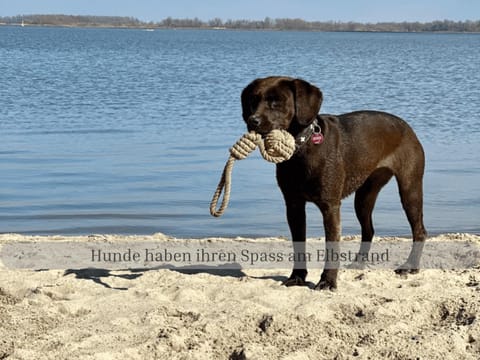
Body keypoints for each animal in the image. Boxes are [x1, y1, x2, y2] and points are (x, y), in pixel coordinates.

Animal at [242, 76, 426, 290]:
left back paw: (410, 266)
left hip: (409, 188)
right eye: (252, 101)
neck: (302, 149)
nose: (252, 120)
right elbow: (298, 244)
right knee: (369, 230)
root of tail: (407, 127)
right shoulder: (294, 205)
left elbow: (331, 246)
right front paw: (297, 277)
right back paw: (358, 264)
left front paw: (327, 281)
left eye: (276, 102)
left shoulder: (330, 206)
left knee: (419, 231)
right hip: (364, 196)